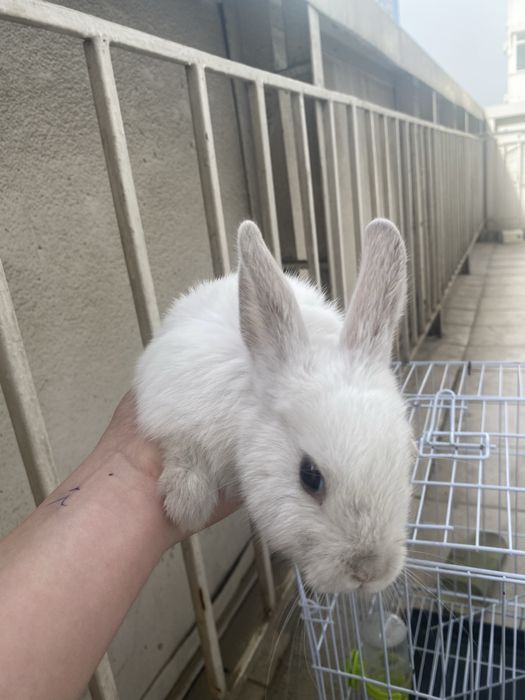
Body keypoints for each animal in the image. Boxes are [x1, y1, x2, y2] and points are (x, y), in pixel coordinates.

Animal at [134, 217, 413, 594]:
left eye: (408, 460)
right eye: (309, 476)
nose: (369, 571)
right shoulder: (175, 407)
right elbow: (183, 450)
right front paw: (185, 504)